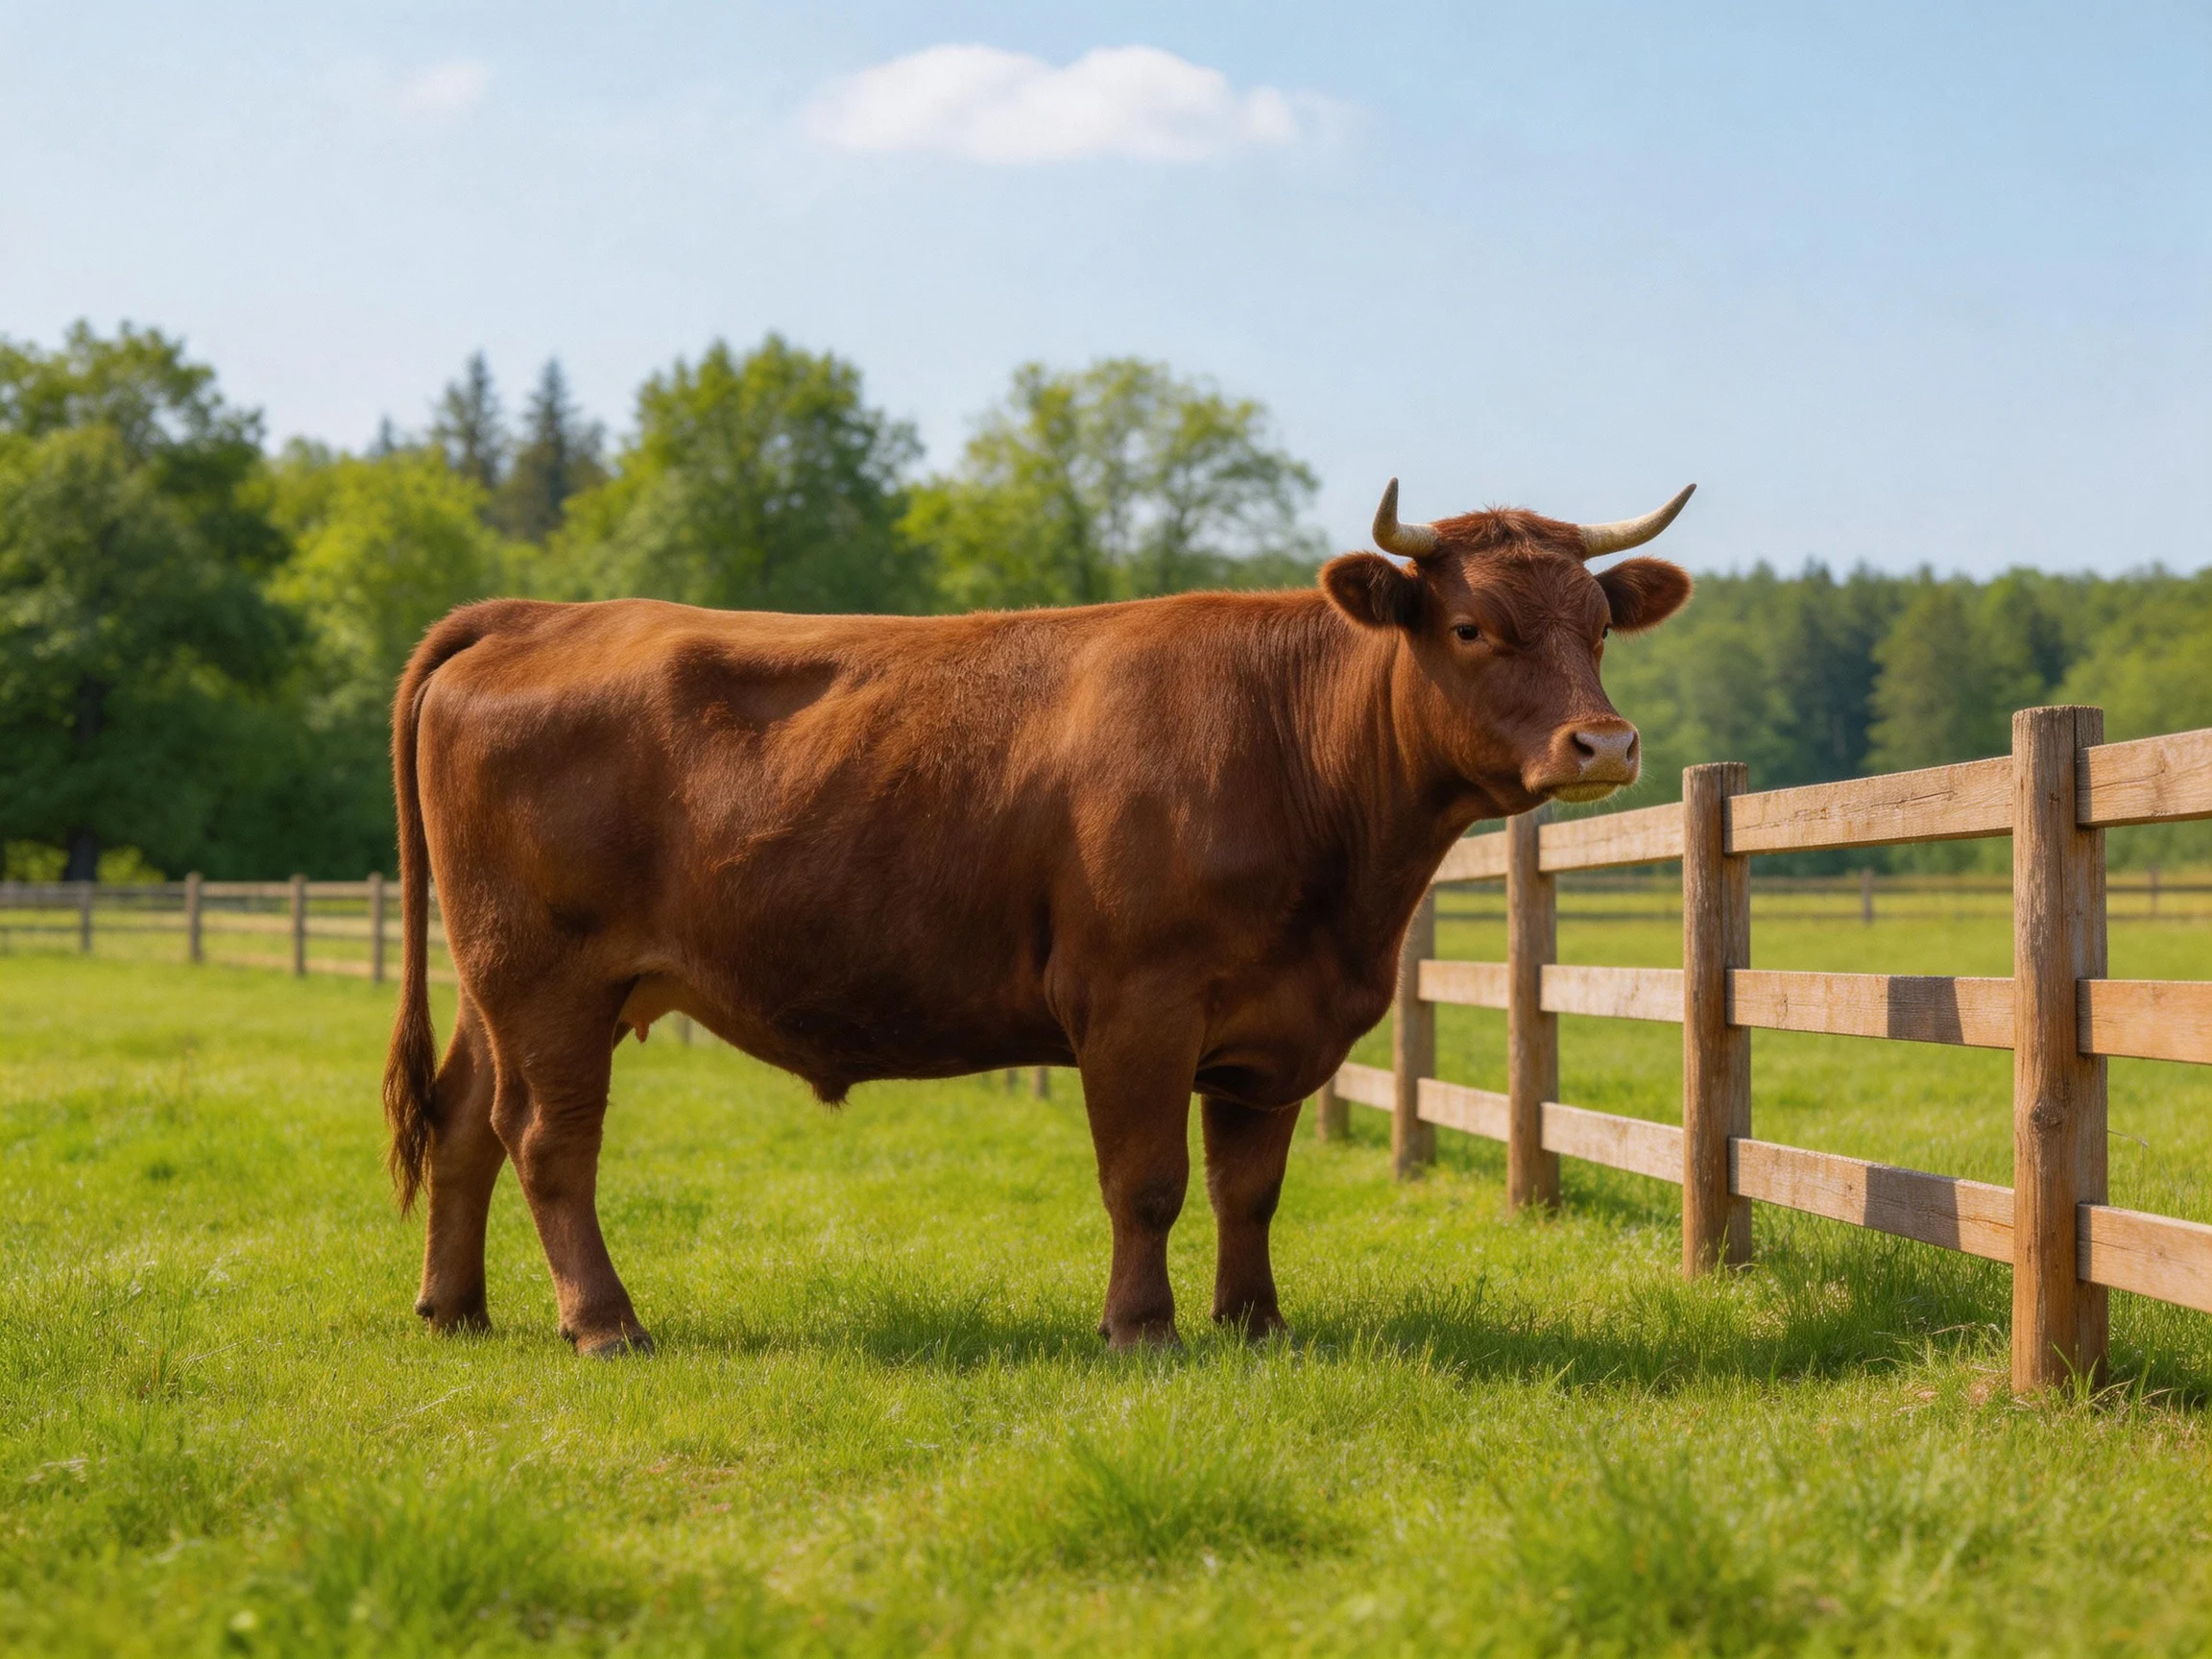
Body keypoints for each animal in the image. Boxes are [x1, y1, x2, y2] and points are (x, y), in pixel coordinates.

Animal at [383, 479, 1695, 1355]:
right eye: (1472, 628)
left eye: (1599, 628)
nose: (1605, 742)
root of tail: (537, 614)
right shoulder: (1135, 1003)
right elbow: (1148, 1180)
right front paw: (1143, 1331)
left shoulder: (1275, 1026)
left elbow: (1249, 1186)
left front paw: (1255, 1325)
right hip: (548, 975)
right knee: (548, 1141)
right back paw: (604, 1323)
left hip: (504, 983)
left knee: (463, 1122)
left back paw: (456, 1310)